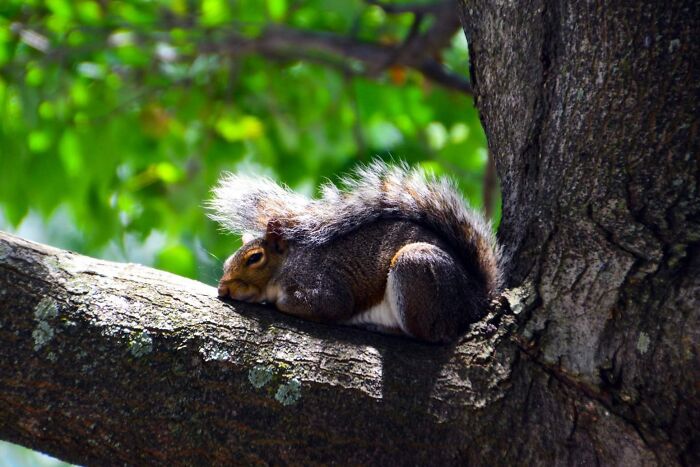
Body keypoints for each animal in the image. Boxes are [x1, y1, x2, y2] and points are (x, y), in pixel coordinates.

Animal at [208, 161, 501, 343]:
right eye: (227, 262)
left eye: (255, 258)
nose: (223, 288)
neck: (288, 264)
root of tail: (474, 299)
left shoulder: (321, 284)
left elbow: (331, 305)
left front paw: (271, 302)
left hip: (415, 267)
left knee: (430, 335)